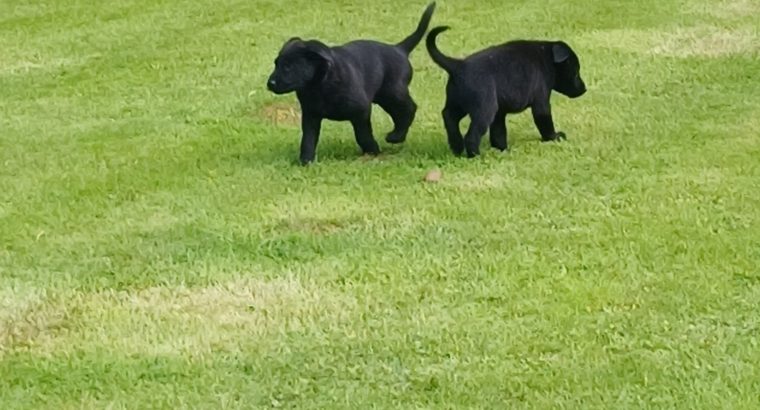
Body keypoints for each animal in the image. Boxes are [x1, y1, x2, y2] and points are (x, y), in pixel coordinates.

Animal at [268, 2, 436, 165]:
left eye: (288, 67)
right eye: (276, 64)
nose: (270, 83)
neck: (320, 85)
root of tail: (399, 49)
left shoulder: (361, 111)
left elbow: (362, 134)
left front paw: (372, 150)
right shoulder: (311, 115)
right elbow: (308, 139)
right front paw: (306, 160)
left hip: (393, 92)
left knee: (409, 108)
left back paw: (396, 136)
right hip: (385, 97)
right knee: (400, 113)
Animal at [428, 25, 588, 157]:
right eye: (576, 71)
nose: (584, 89)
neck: (547, 57)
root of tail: (458, 66)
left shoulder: (499, 112)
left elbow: (498, 132)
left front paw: (502, 149)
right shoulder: (541, 102)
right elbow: (545, 122)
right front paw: (554, 137)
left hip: (458, 104)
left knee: (449, 117)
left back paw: (457, 147)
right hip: (484, 109)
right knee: (471, 135)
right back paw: (475, 155)